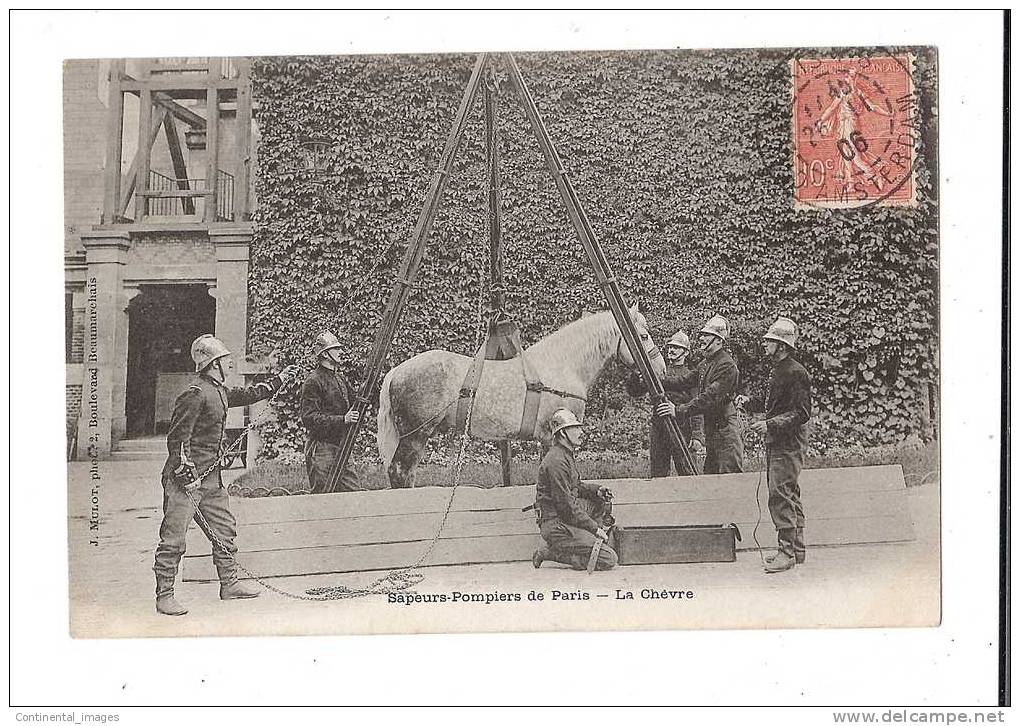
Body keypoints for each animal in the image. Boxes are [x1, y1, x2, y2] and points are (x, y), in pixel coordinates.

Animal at [375, 303, 660, 491]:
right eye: (643, 336)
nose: (660, 368)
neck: (562, 365)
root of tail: (395, 372)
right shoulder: (553, 435)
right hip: (415, 435)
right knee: (399, 471)